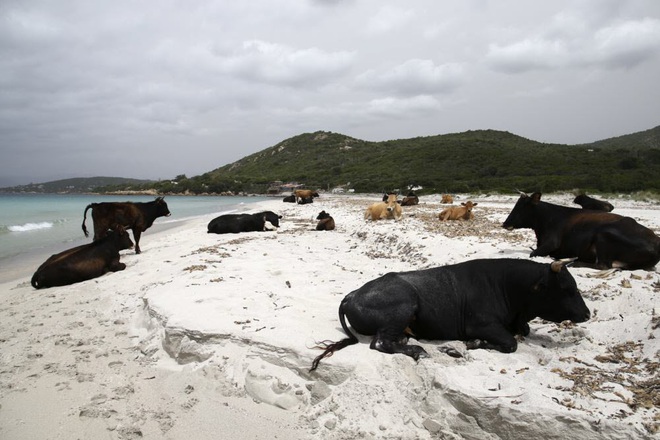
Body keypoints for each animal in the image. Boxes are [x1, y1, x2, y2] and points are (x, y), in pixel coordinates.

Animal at [310, 258, 592, 372]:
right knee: (380, 342)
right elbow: (510, 343)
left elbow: (522, 332)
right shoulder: (481, 324)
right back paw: (418, 350)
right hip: (405, 304)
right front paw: (471, 345)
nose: (587, 314)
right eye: (566, 289)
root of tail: (353, 294)